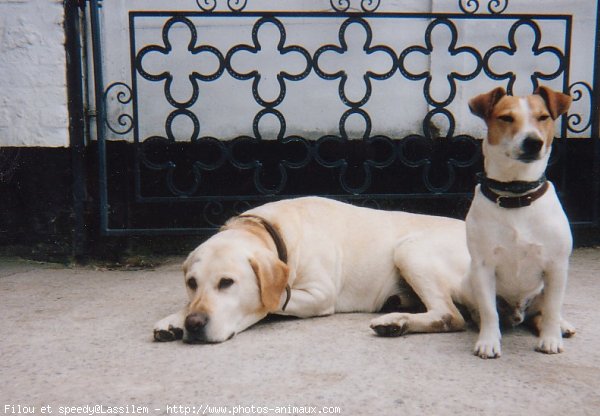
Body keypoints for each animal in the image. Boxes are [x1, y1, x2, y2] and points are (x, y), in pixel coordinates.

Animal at [156, 197, 474, 342]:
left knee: (450, 316)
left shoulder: (320, 295)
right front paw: (176, 318)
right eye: (192, 283)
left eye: (227, 282)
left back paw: (398, 322)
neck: (273, 230)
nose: (195, 325)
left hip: (409, 249)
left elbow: (270, 302)